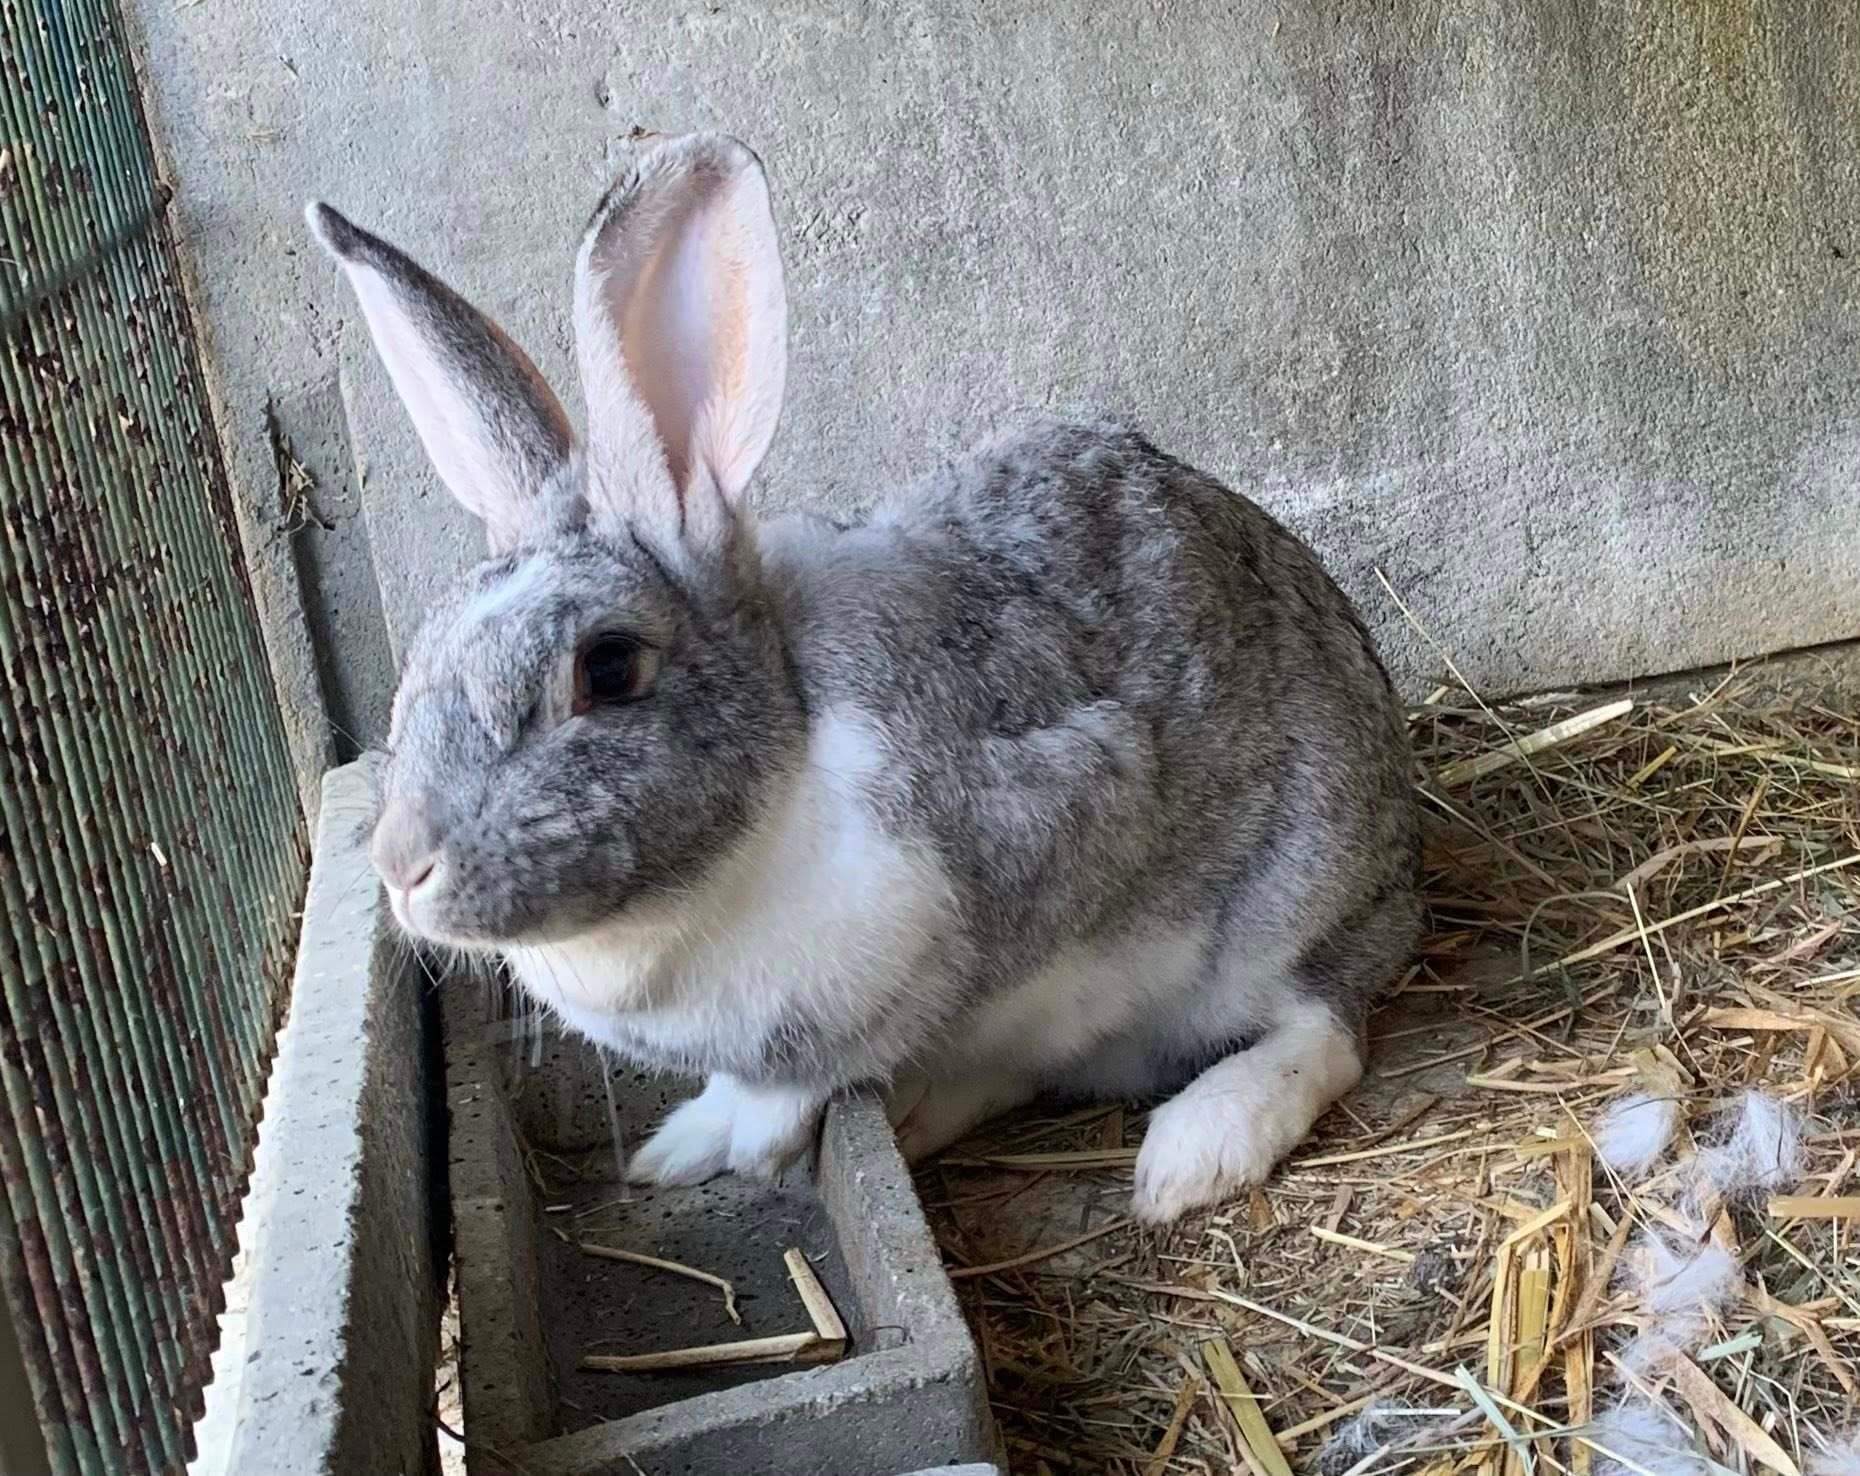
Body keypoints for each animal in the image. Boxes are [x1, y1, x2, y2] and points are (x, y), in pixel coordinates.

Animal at [310, 131, 1421, 1224]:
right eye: (421, 657)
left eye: (609, 668)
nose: (401, 865)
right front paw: (685, 1148)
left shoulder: (1050, 817)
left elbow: (846, 1052)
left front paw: (754, 1140)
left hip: (1290, 893)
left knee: (1325, 1022)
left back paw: (1195, 1151)